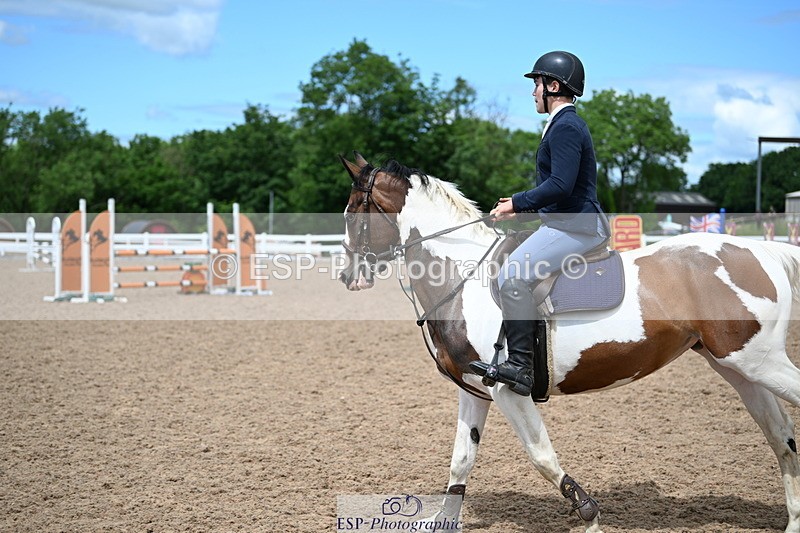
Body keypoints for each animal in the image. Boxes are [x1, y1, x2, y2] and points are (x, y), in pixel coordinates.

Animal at [337, 152, 800, 533]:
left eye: (353, 212)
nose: (348, 276)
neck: (463, 276)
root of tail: (764, 252)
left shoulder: (509, 390)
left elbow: (541, 456)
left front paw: (589, 514)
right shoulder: (474, 390)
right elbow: (461, 459)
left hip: (759, 362)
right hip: (737, 367)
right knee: (782, 438)